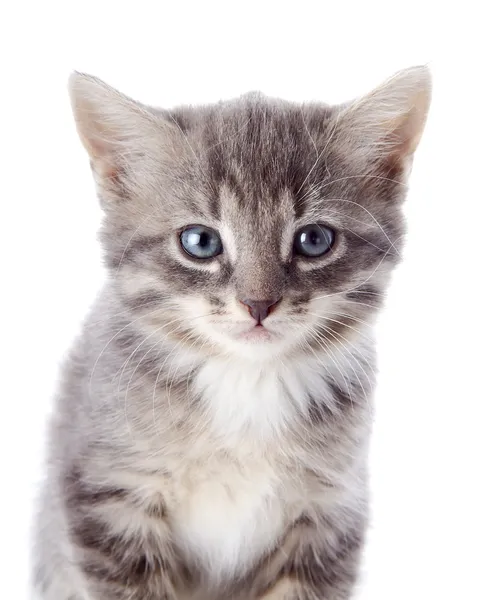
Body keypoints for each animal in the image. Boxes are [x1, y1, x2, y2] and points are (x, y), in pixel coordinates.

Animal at [32, 67, 430, 600]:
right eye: (200, 242)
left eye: (314, 239)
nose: (258, 304)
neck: (247, 383)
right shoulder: (109, 495)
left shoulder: (327, 513)